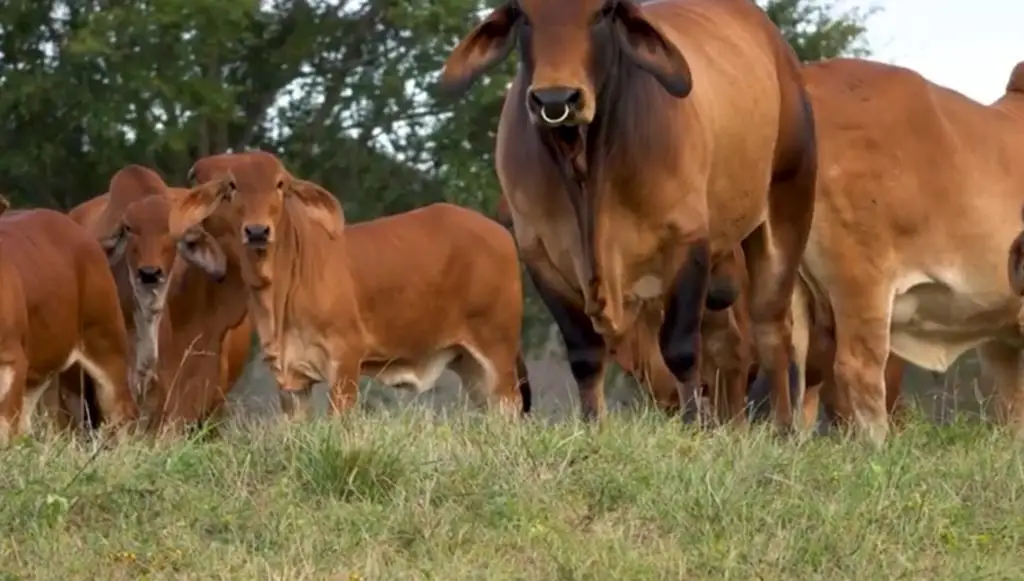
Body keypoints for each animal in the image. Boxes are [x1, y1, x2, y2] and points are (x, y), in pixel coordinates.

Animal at [173, 151, 531, 419]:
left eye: (280, 184)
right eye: (232, 186)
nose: (258, 231)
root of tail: (500, 233)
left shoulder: (344, 360)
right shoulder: (292, 381)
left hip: (497, 354)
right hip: (470, 365)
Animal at [439, 0, 817, 429]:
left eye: (604, 11)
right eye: (522, 13)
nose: (556, 99)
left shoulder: (688, 241)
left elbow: (680, 349)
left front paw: (693, 425)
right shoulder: (539, 254)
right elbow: (585, 355)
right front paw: (593, 424)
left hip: (786, 207)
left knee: (772, 328)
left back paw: (783, 427)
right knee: (728, 344)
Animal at [765, 59, 1024, 442]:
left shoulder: (1002, 338)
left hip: (794, 288)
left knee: (797, 374)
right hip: (863, 283)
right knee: (857, 371)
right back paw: (879, 445)